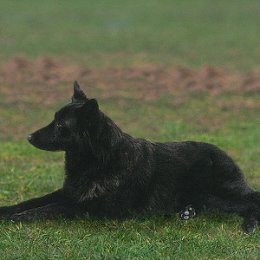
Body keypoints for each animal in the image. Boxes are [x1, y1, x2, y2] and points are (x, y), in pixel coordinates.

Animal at [0, 83, 258, 234]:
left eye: (60, 125)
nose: (28, 136)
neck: (100, 160)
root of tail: (226, 157)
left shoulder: (91, 207)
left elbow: (51, 208)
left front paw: (17, 218)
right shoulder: (69, 193)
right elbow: (34, 201)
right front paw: (7, 210)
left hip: (212, 190)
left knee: (252, 201)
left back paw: (249, 223)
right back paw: (188, 212)